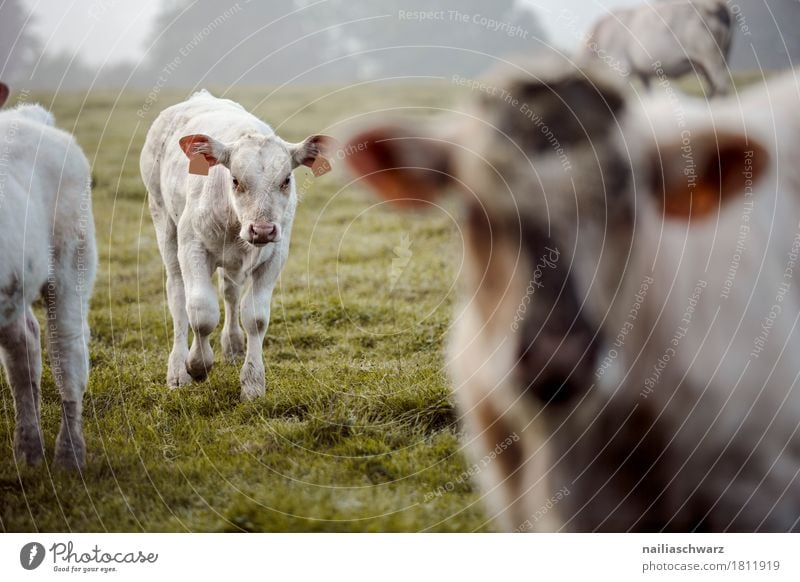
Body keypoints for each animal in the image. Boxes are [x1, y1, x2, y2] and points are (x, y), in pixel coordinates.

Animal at [139, 92, 332, 402]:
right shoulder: (192, 247)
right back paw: (177, 370)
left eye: (286, 180)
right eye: (235, 180)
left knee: (229, 293)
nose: (262, 229)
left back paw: (232, 346)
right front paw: (197, 365)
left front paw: (253, 383)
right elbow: (201, 312)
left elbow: (255, 317)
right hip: (163, 221)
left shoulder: (275, 255)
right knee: (178, 295)